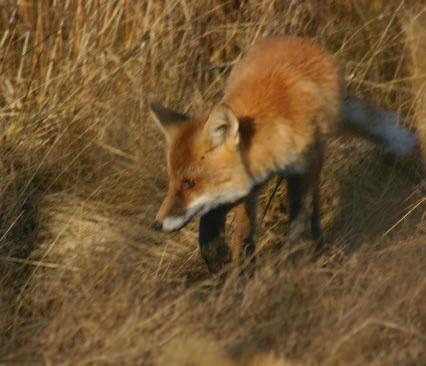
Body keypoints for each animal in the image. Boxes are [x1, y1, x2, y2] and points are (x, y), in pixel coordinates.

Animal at [149, 35, 416, 274]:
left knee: (314, 208)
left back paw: (317, 243)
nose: (156, 224)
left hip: (316, 158)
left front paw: (293, 267)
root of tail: (296, 39)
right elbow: (223, 226)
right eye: (173, 181)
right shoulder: (246, 185)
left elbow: (298, 224)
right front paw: (223, 262)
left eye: (190, 182)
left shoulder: (303, 168)